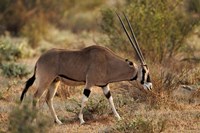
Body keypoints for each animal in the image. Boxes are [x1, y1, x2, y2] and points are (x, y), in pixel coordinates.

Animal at [20, 13, 152, 124]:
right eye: (144, 71)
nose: (150, 86)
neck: (108, 61)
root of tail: (39, 59)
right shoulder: (89, 83)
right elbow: (84, 99)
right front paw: (82, 120)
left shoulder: (105, 85)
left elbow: (111, 99)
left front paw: (118, 117)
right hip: (45, 81)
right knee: (36, 97)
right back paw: (34, 121)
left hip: (55, 81)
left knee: (48, 99)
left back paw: (58, 121)